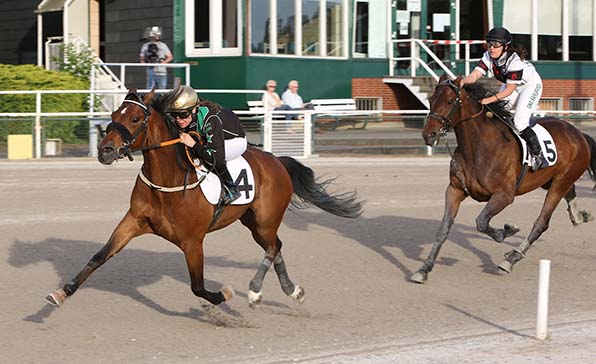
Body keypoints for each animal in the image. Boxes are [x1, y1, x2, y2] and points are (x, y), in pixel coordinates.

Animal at [44, 88, 364, 308]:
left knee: (272, 247)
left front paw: (224, 294)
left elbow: (197, 286)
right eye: (112, 117)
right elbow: (98, 257)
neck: (168, 181)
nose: (105, 151)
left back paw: (255, 291)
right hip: (252, 221)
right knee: (276, 247)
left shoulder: (193, 241)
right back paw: (290, 290)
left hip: (265, 220)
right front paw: (60, 293)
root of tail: (278, 162)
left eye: (134, 118)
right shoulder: (133, 222)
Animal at [412, 75, 596, 282]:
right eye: (430, 100)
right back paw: (581, 216)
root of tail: (579, 134)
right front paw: (424, 269)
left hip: (559, 183)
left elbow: (482, 221)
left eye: (450, 101)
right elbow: (443, 229)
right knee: (570, 197)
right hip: (552, 181)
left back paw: (512, 258)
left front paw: (506, 231)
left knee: (541, 223)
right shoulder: (455, 190)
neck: (478, 146)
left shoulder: (504, 195)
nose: (429, 135)